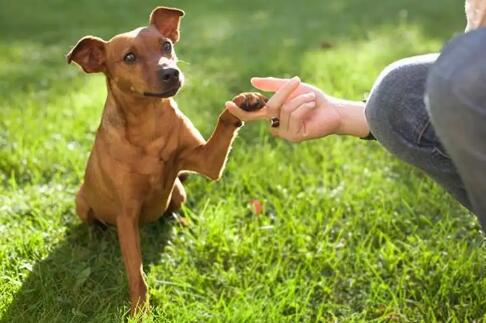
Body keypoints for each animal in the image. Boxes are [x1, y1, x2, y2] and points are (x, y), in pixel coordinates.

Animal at [66, 5, 266, 314]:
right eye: (129, 57)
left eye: (167, 45)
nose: (171, 72)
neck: (150, 125)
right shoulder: (126, 216)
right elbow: (136, 273)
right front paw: (140, 310)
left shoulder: (207, 162)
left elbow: (224, 123)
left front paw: (243, 101)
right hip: (82, 201)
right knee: (93, 221)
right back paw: (97, 233)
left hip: (179, 190)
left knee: (174, 208)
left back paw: (181, 221)